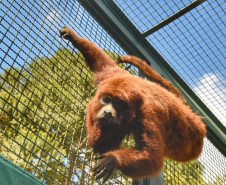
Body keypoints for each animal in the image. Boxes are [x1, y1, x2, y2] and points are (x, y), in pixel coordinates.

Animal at [59, 25, 207, 182]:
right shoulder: (113, 77)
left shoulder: (148, 112)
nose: (108, 112)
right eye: (106, 100)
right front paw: (74, 38)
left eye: (118, 104)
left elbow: (152, 157)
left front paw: (114, 159)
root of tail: (197, 121)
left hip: (190, 144)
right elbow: (105, 65)